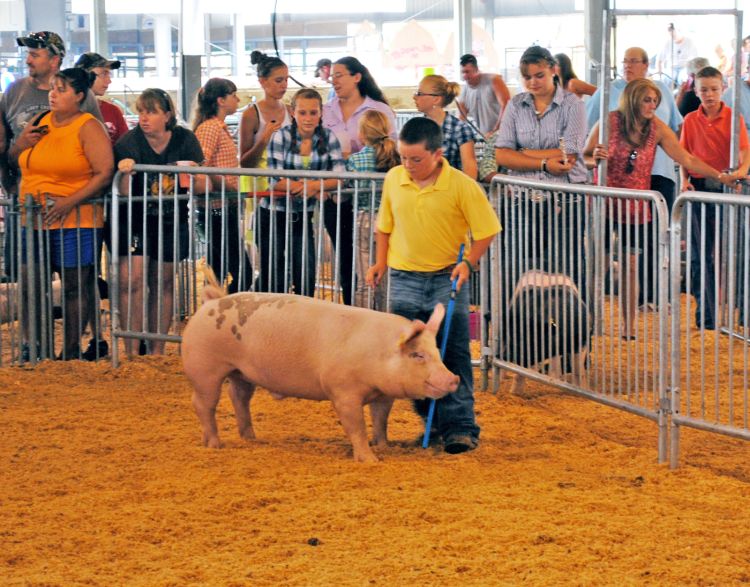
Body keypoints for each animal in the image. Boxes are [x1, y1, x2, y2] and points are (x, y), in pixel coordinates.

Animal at [184, 268, 462, 462]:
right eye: (418, 355)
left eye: (436, 352)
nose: (454, 379)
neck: (377, 353)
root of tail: (210, 303)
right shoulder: (343, 392)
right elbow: (356, 427)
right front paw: (371, 460)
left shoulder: (384, 396)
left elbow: (380, 421)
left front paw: (384, 446)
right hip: (205, 368)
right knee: (203, 403)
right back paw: (215, 444)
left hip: (241, 372)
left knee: (238, 397)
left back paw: (251, 438)